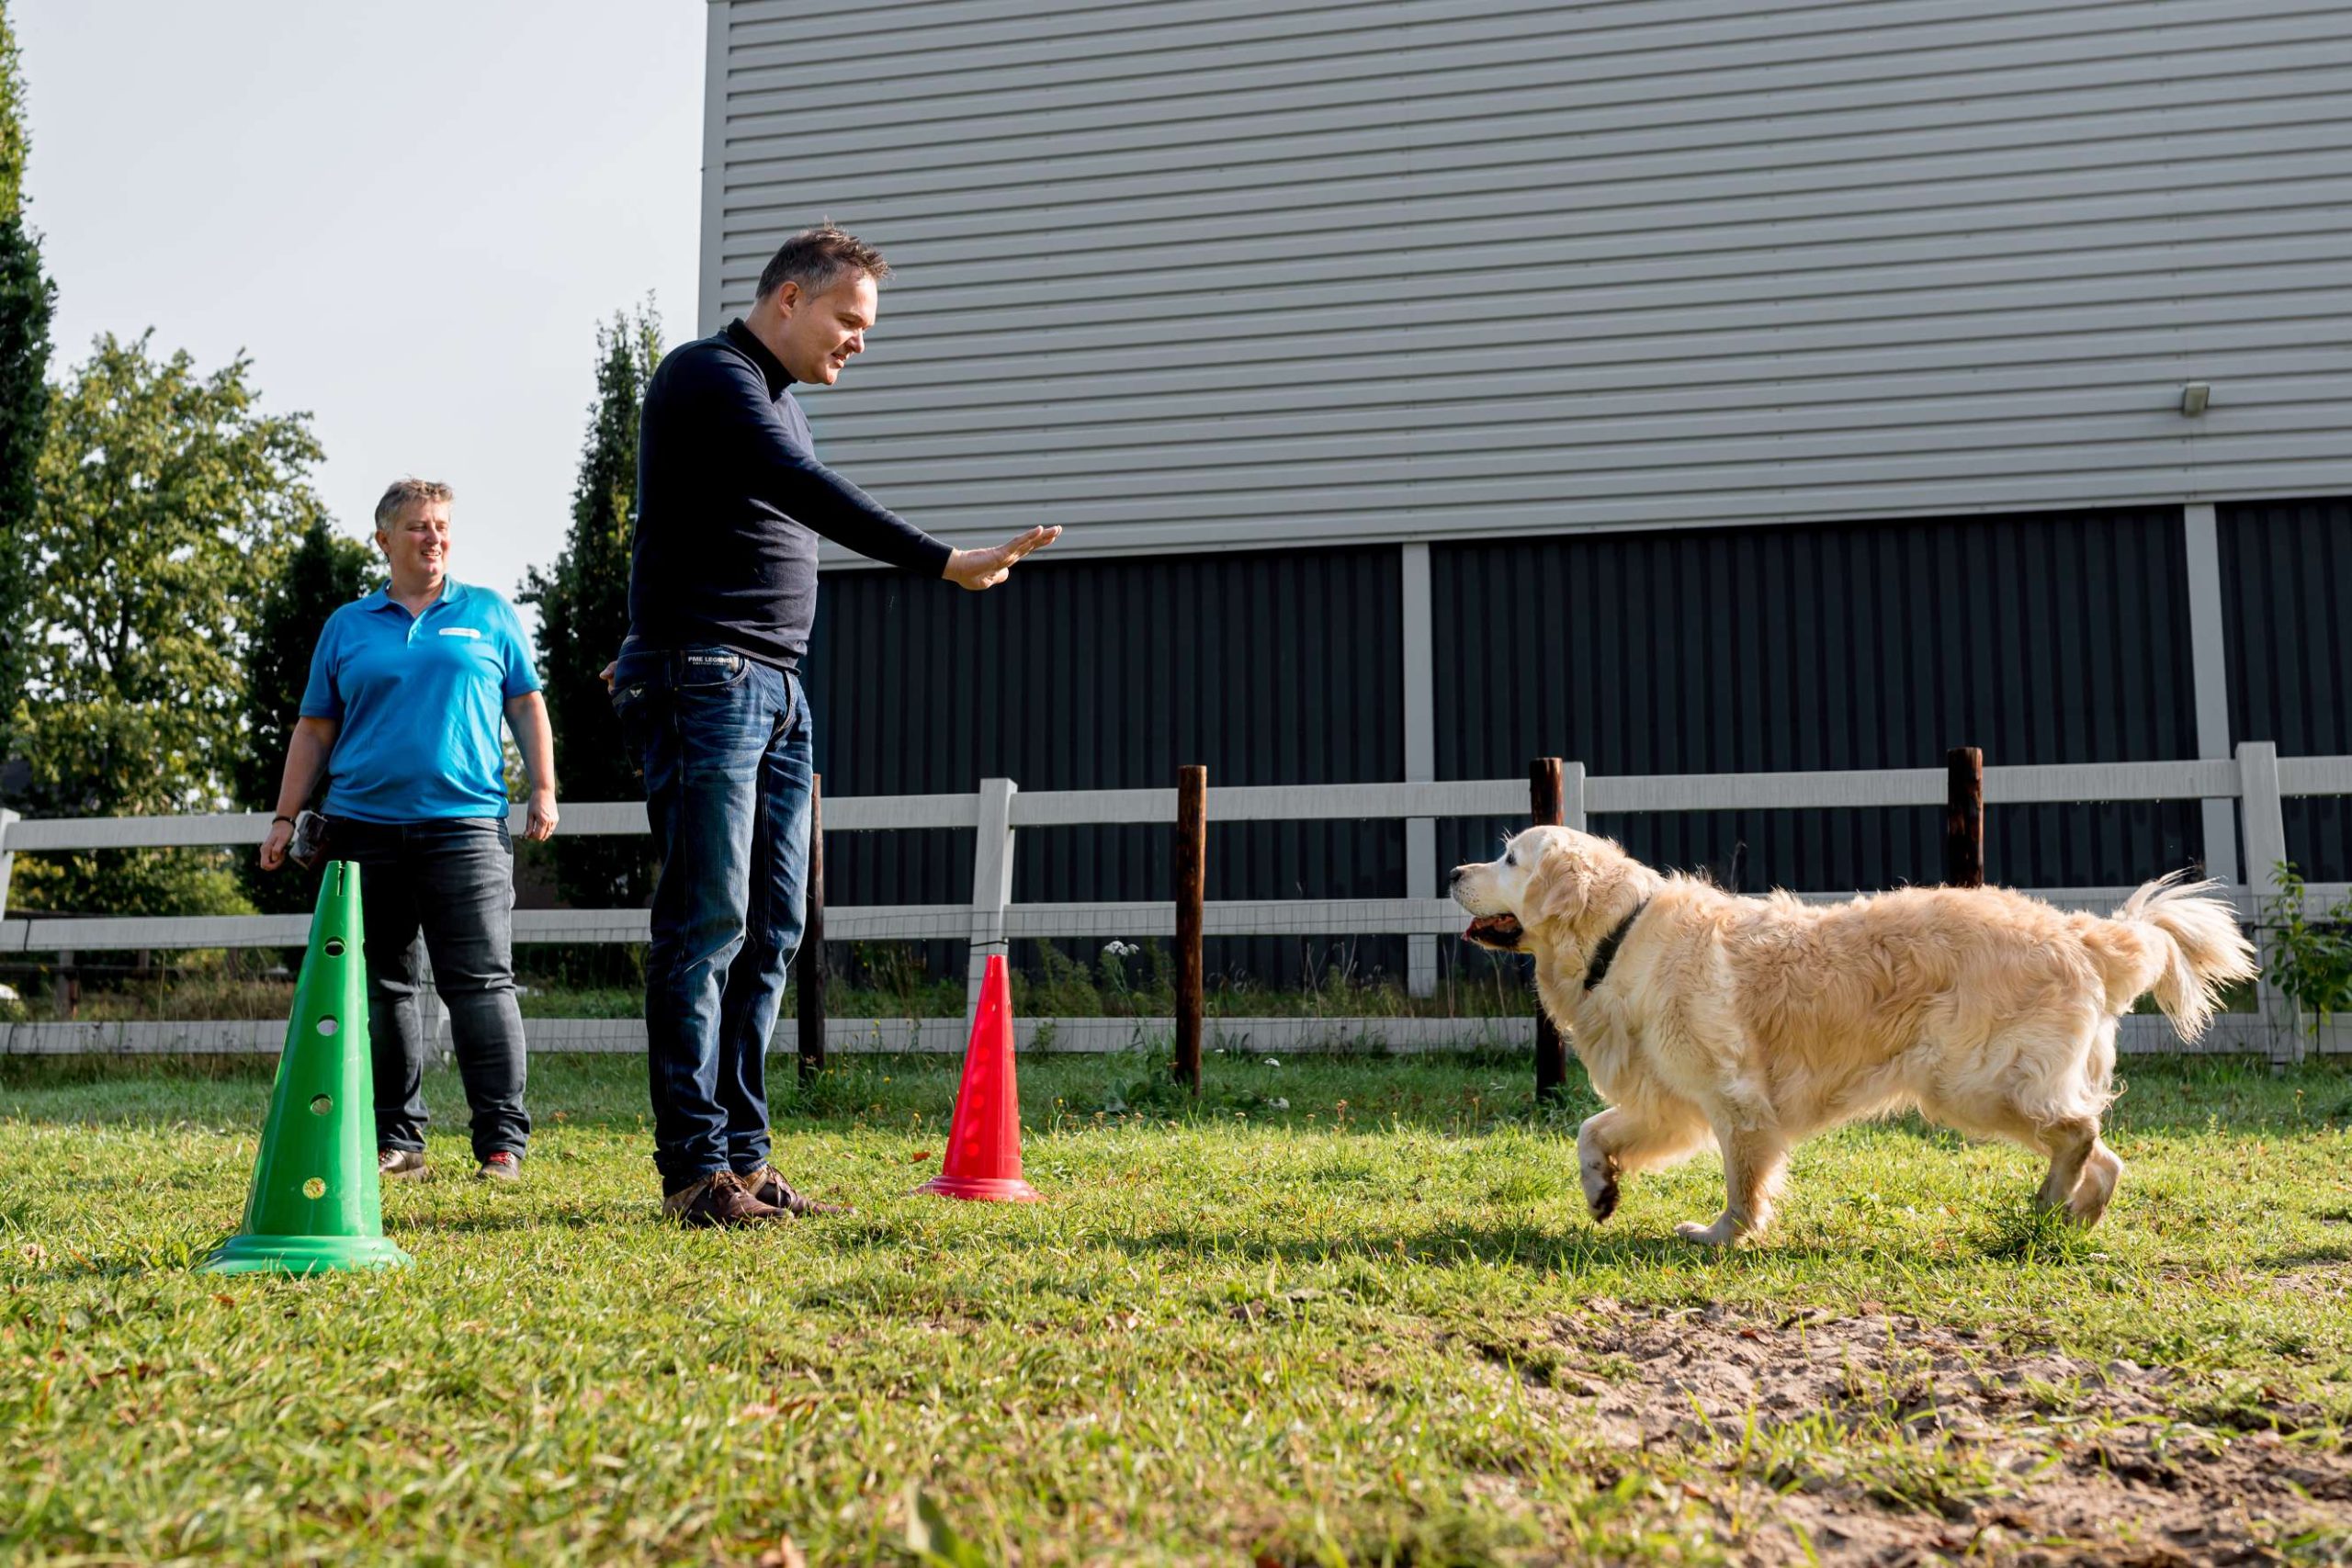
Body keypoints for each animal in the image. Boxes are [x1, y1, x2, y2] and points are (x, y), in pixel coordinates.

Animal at [1448, 827, 2257, 1241]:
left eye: (1509, 858)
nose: (1454, 871)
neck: (1620, 935)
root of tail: (2081, 932)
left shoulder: (1734, 1101)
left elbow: (1743, 1181)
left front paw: (1724, 1234)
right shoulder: (1668, 1102)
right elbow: (1591, 1128)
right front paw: (1599, 1188)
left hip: (1972, 1082)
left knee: (2082, 1131)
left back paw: (2053, 1197)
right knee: (2105, 1149)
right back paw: (2071, 1216)